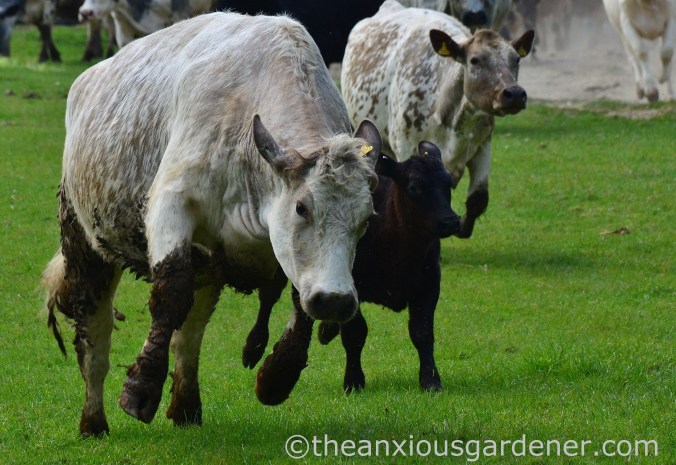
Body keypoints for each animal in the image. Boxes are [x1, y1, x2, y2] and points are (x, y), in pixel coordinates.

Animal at [42, 11, 382, 437]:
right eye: (302, 208)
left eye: (366, 220)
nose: (336, 301)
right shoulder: (171, 204)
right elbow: (169, 292)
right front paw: (140, 390)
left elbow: (298, 300)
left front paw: (277, 375)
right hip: (86, 244)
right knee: (95, 337)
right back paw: (93, 421)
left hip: (205, 267)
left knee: (190, 335)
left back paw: (186, 407)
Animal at [243, 142, 461, 405]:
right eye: (415, 187)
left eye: (449, 183)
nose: (450, 221)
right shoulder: (350, 288)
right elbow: (356, 333)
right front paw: (354, 381)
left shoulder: (429, 285)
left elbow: (422, 332)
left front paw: (430, 380)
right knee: (268, 297)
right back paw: (253, 347)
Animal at [341, 0, 533, 239]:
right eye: (475, 60)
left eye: (516, 59)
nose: (514, 93)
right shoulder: (405, 146)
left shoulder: (483, 144)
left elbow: (478, 198)